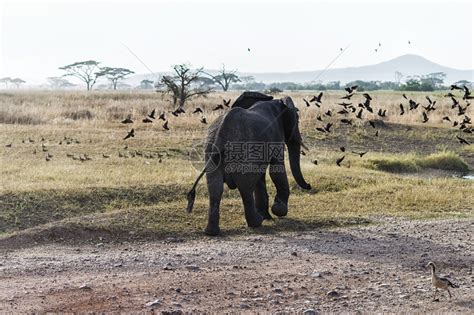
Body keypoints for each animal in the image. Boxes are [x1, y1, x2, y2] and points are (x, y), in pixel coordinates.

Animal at [185, 91, 312, 235]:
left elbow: (262, 176)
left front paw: (268, 215)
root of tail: (221, 134)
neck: (276, 102)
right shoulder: (276, 136)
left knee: (215, 188)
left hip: (211, 152)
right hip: (242, 153)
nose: (309, 185)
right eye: (297, 118)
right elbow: (276, 170)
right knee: (245, 187)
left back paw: (211, 232)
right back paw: (257, 222)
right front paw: (278, 211)